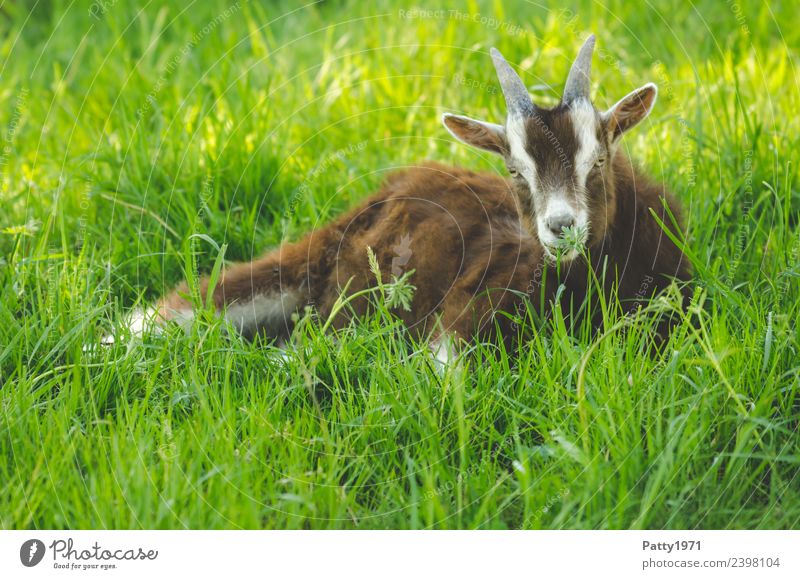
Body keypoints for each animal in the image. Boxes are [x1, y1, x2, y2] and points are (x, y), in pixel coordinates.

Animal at [123, 34, 688, 360]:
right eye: (515, 171)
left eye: (598, 160)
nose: (561, 227)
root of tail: (394, 186)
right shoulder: (469, 309)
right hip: (307, 263)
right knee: (179, 313)